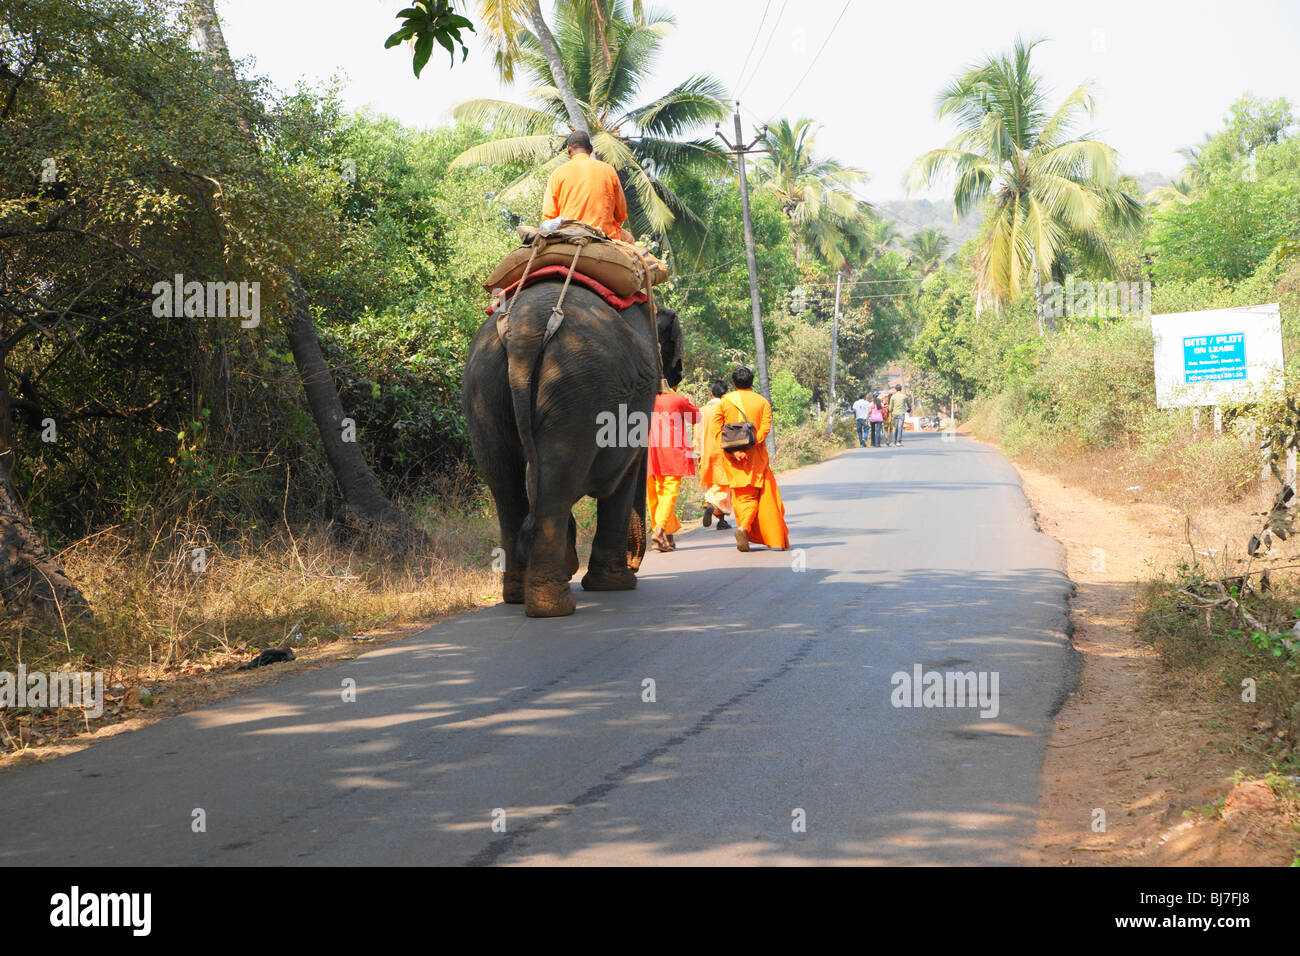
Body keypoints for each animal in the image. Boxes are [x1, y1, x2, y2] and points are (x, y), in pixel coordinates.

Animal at [462, 280, 684, 617]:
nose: (635, 564)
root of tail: (522, 332)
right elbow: (624, 474)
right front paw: (616, 584)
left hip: (485, 388)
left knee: (508, 488)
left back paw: (518, 595)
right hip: (577, 391)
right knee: (555, 484)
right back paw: (553, 607)